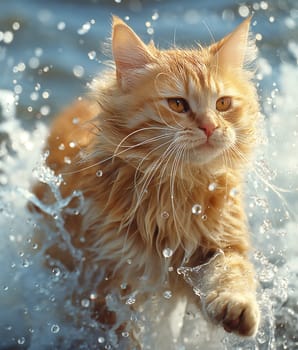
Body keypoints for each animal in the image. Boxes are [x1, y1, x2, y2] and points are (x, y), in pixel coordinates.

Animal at [31, 16, 260, 344]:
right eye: (177, 105)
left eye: (223, 104)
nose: (210, 127)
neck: (176, 195)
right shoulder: (100, 283)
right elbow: (121, 335)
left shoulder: (222, 243)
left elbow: (232, 273)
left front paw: (236, 307)